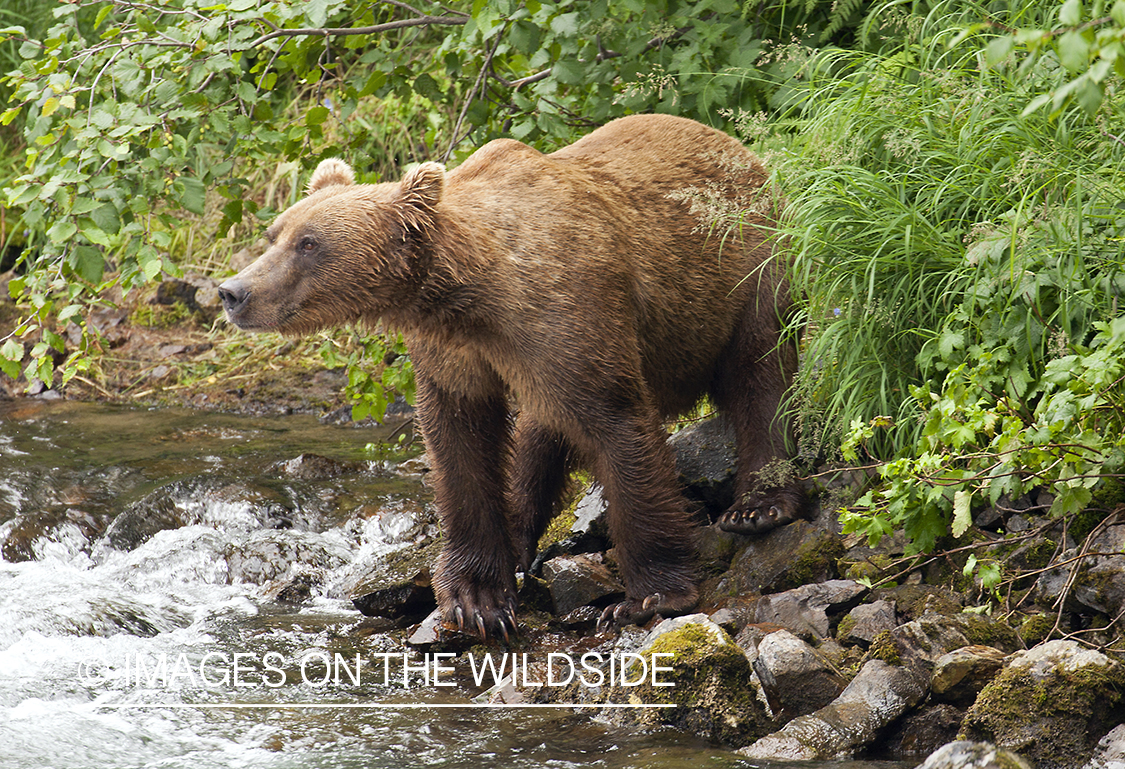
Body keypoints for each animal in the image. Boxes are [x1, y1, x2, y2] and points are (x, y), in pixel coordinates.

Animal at [217, 114, 801, 638]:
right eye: (273, 234)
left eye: (310, 244)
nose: (232, 291)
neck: (474, 296)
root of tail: (743, 149)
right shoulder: (456, 354)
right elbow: (461, 445)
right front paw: (476, 599)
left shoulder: (570, 317)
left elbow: (617, 423)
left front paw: (647, 596)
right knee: (541, 432)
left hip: (747, 272)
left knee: (761, 375)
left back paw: (758, 506)